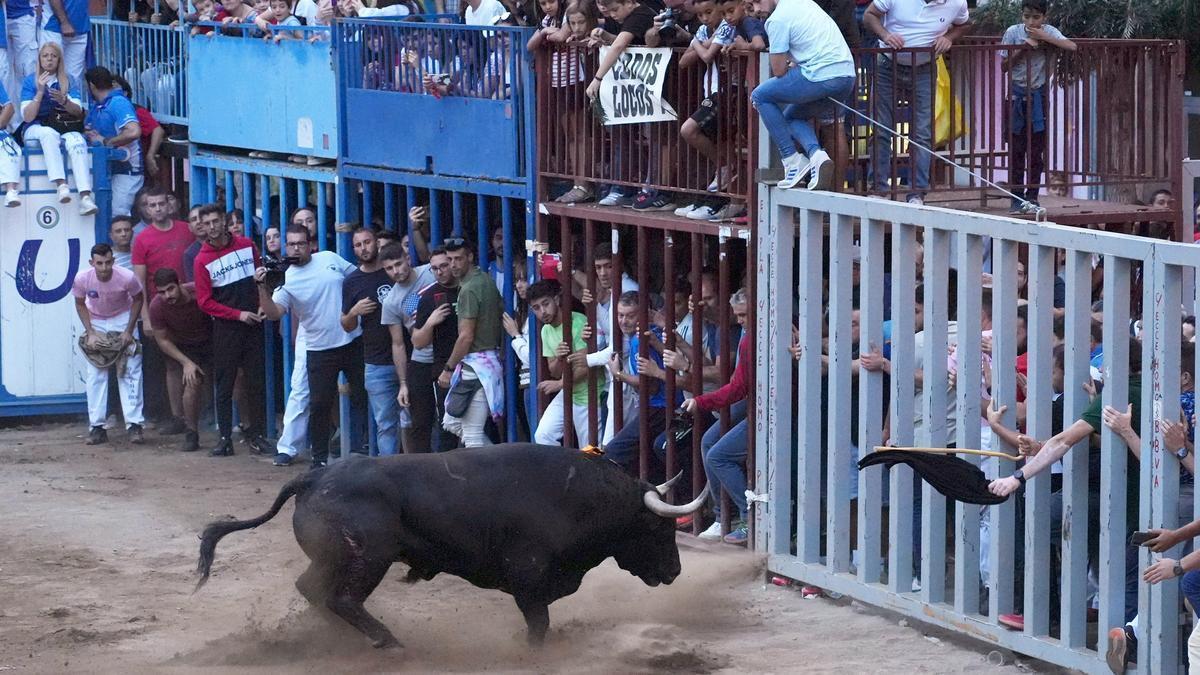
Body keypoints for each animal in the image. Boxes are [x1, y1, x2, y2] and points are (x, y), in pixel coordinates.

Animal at [193, 441, 705, 648]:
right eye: (660, 530)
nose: (676, 572)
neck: (580, 497)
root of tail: (314, 477)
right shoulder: (529, 579)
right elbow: (538, 625)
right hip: (368, 558)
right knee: (341, 598)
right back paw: (388, 642)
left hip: (336, 560)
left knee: (313, 590)